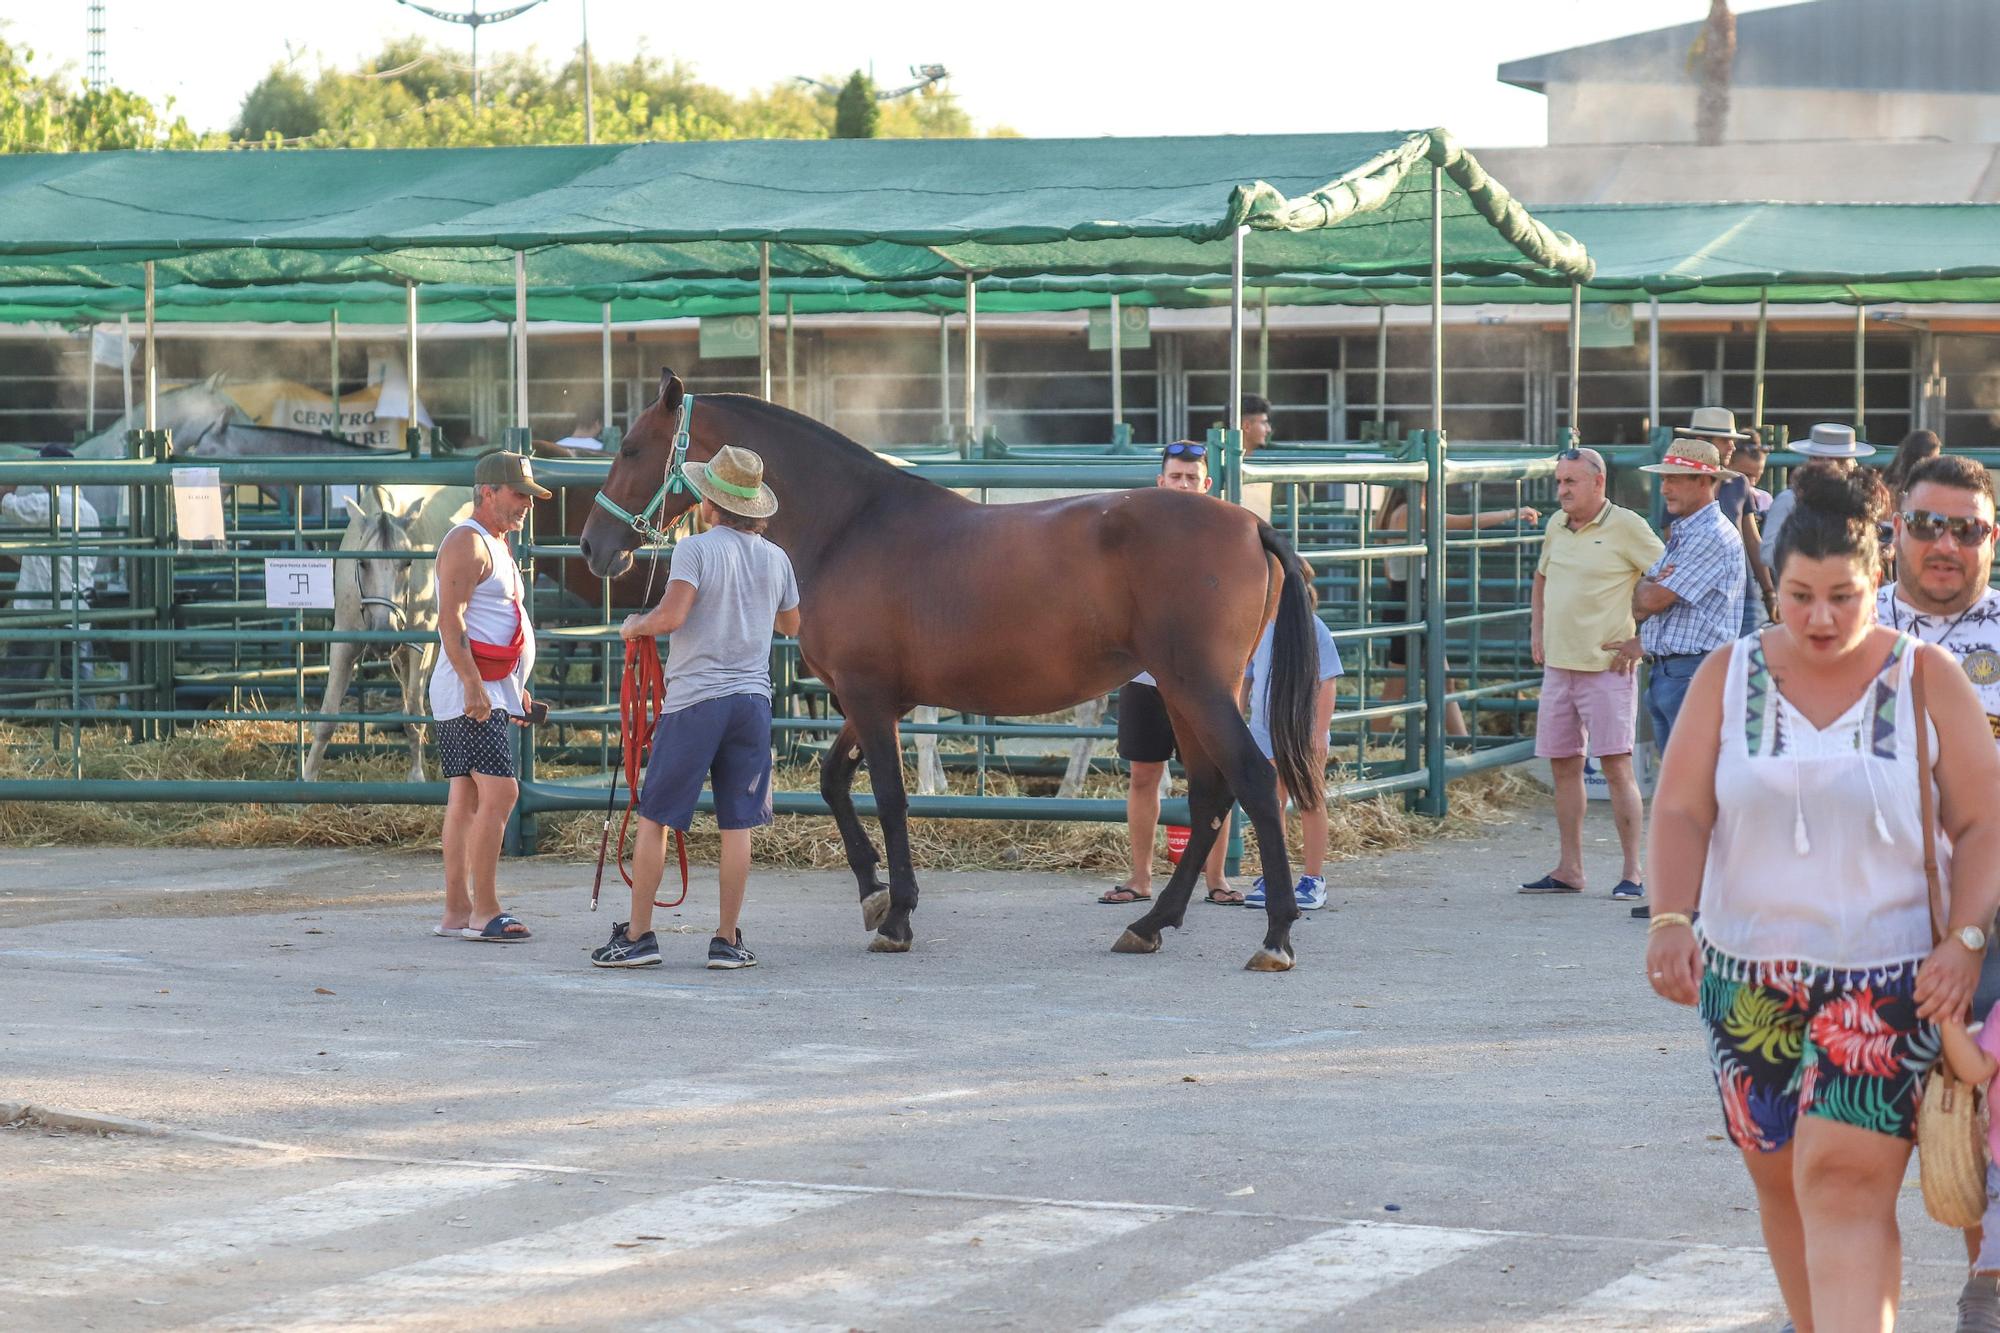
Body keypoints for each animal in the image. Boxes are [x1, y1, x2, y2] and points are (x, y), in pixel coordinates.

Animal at [302, 486, 470, 780]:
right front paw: (308, 776)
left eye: (408, 563)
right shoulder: (343, 641)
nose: (383, 636)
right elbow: (327, 716)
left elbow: (414, 713)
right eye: (362, 562)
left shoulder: (421, 645)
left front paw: (416, 776)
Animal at [580, 366, 1328, 964]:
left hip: (1197, 687)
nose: (593, 545)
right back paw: (1152, 923)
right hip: (1184, 692)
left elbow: (888, 796)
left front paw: (898, 916)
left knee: (1252, 781)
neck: (851, 526)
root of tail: (1248, 524)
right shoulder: (873, 699)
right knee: (1209, 797)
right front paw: (874, 894)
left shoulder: (868, 695)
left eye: (632, 447)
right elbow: (833, 780)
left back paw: (1275, 935)